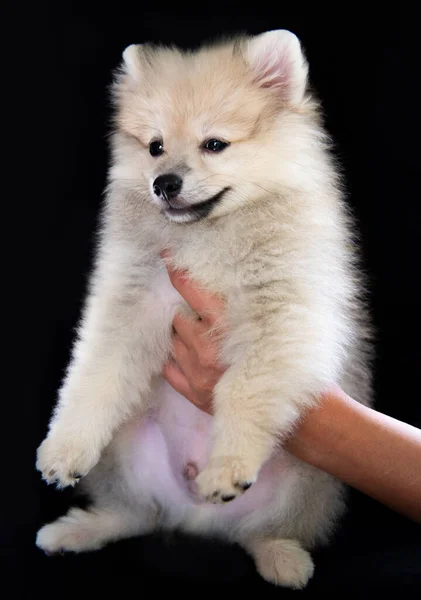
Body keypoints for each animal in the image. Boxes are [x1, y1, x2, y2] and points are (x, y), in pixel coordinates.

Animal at [36, 30, 370, 588]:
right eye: (155, 146)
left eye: (214, 144)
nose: (163, 182)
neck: (206, 236)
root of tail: (194, 517)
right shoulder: (129, 299)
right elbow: (95, 375)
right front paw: (64, 447)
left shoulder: (280, 314)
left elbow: (244, 390)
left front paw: (228, 464)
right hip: (128, 449)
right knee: (138, 514)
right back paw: (78, 530)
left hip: (307, 478)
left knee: (261, 531)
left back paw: (282, 558)